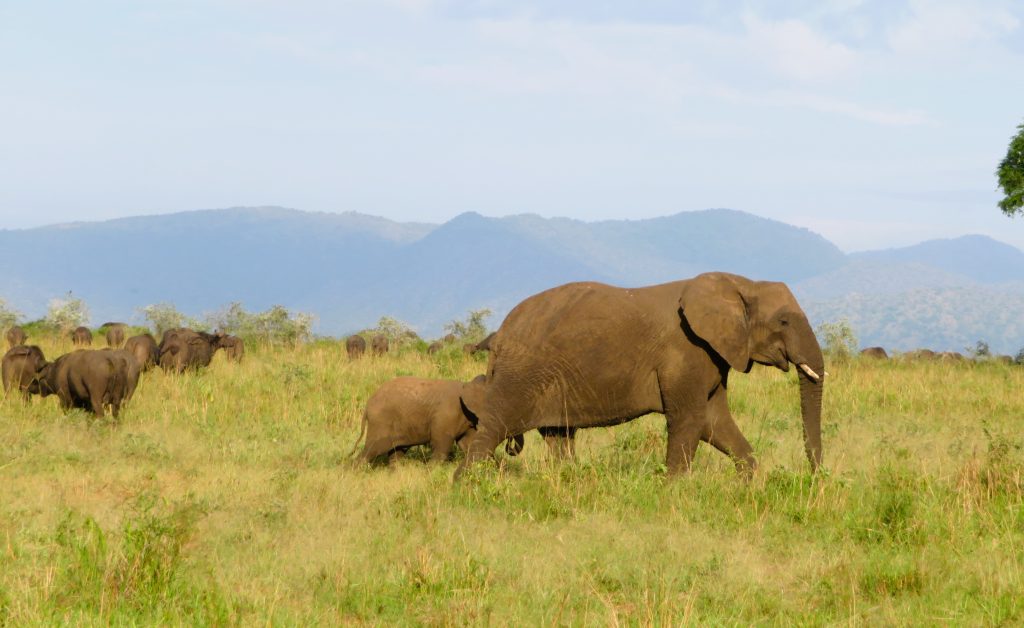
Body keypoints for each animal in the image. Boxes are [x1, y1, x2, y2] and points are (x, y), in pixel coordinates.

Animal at [357, 375, 523, 464]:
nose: (509, 445)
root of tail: (367, 405)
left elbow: (468, 445)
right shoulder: (446, 416)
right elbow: (442, 445)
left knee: (396, 453)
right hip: (380, 423)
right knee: (372, 450)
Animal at [456, 272, 826, 480]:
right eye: (783, 321)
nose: (815, 477)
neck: (742, 283)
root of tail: (500, 336)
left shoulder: (712, 353)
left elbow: (714, 421)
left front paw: (749, 483)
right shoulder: (687, 350)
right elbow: (690, 419)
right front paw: (674, 490)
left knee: (558, 437)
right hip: (520, 375)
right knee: (492, 430)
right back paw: (467, 487)